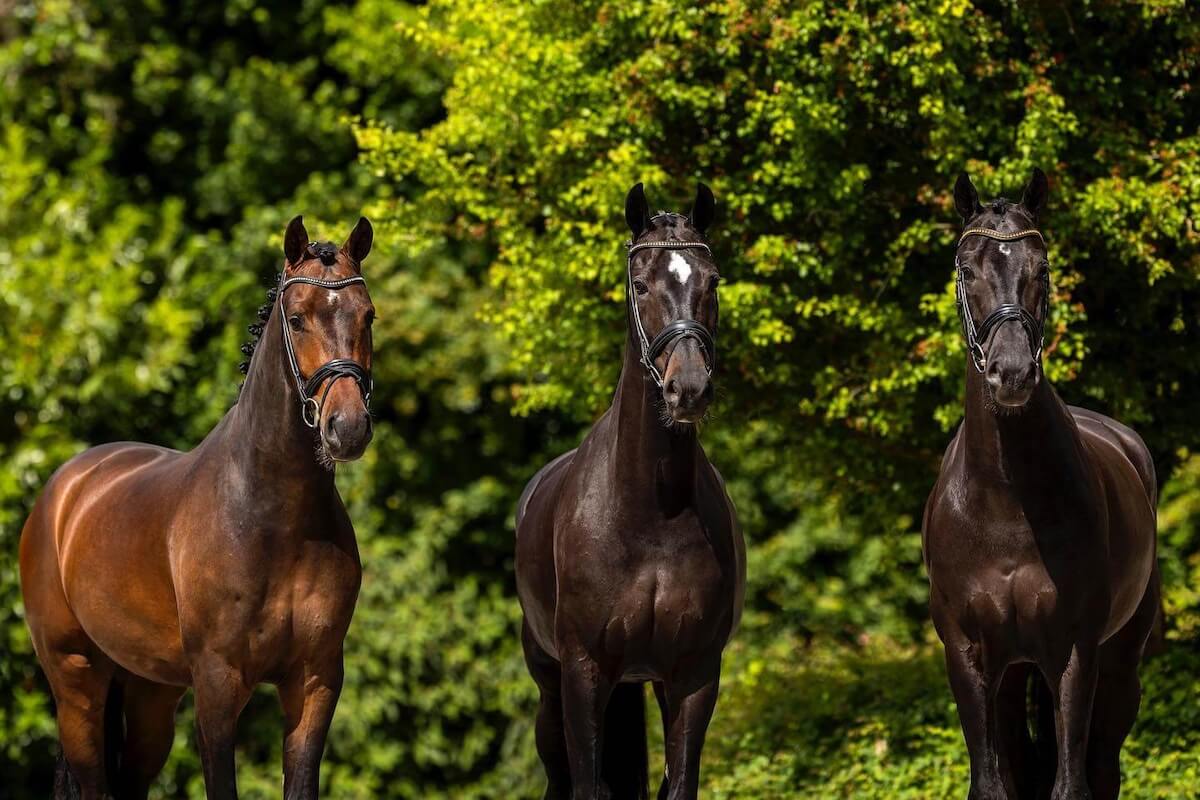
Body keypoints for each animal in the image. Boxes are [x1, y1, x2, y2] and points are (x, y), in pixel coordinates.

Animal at [19, 215, 377, 799]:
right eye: (297, 319)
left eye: (367, 315)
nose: (346, 429)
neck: (273, 518)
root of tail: (63, 492)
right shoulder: (217, 683)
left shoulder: (317, 679)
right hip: (76, 683)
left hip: (149, 693)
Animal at [515, 182, 746, 800]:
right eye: (641, 284)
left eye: (713, 281)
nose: (688, 389)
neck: (651, 513)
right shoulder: (585, 671)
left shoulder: (693, 675)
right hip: (552, 688)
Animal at [922, 169, 1161, 800]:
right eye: (967, 271)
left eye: (1043, 267)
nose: (1011, 374)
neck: (1007, 504)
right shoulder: (968, 655)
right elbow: (993, 783)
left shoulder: (1075, 652)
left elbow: (1071, 783)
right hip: (1013, 671)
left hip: (1120, 662)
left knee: (1102, 766)